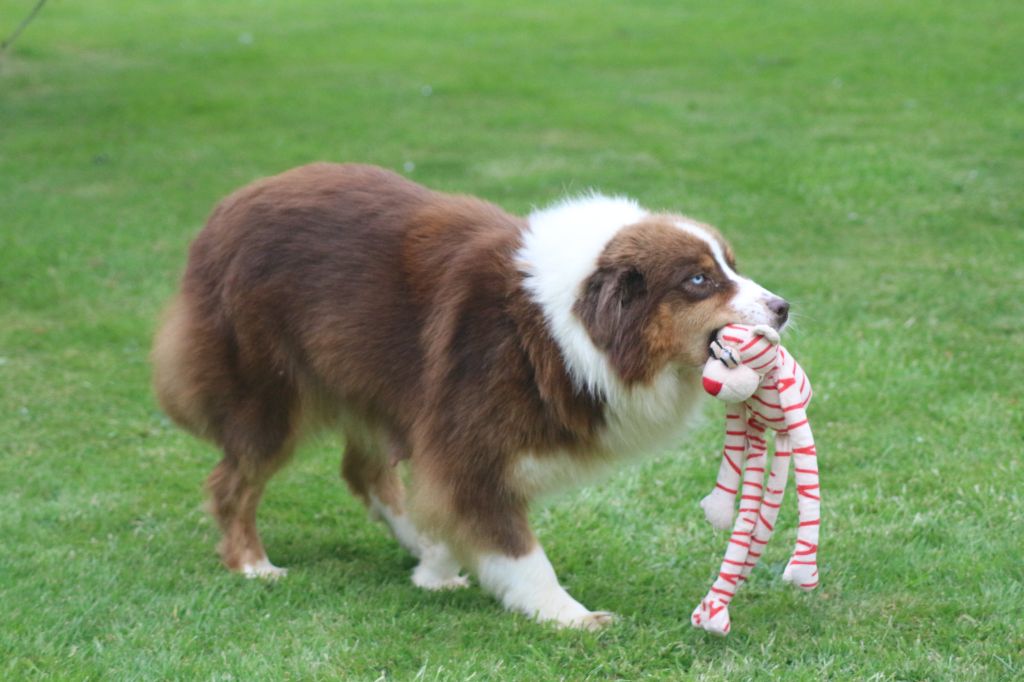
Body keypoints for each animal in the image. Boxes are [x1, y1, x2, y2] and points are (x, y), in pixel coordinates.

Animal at [151, 161, 786, 630]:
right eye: (699, 280)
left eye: (731, 266)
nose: (782, 306)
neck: (564, 325)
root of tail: (223, 212)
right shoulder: (467, 442)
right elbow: (519, 550)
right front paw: (569, 616)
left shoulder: (443, 432)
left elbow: (454, 509)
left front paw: (435, 569)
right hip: (270, 393)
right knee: (234, 481)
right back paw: (252, 564)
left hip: (372, 383)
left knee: (364, 472)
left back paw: (417, 541)